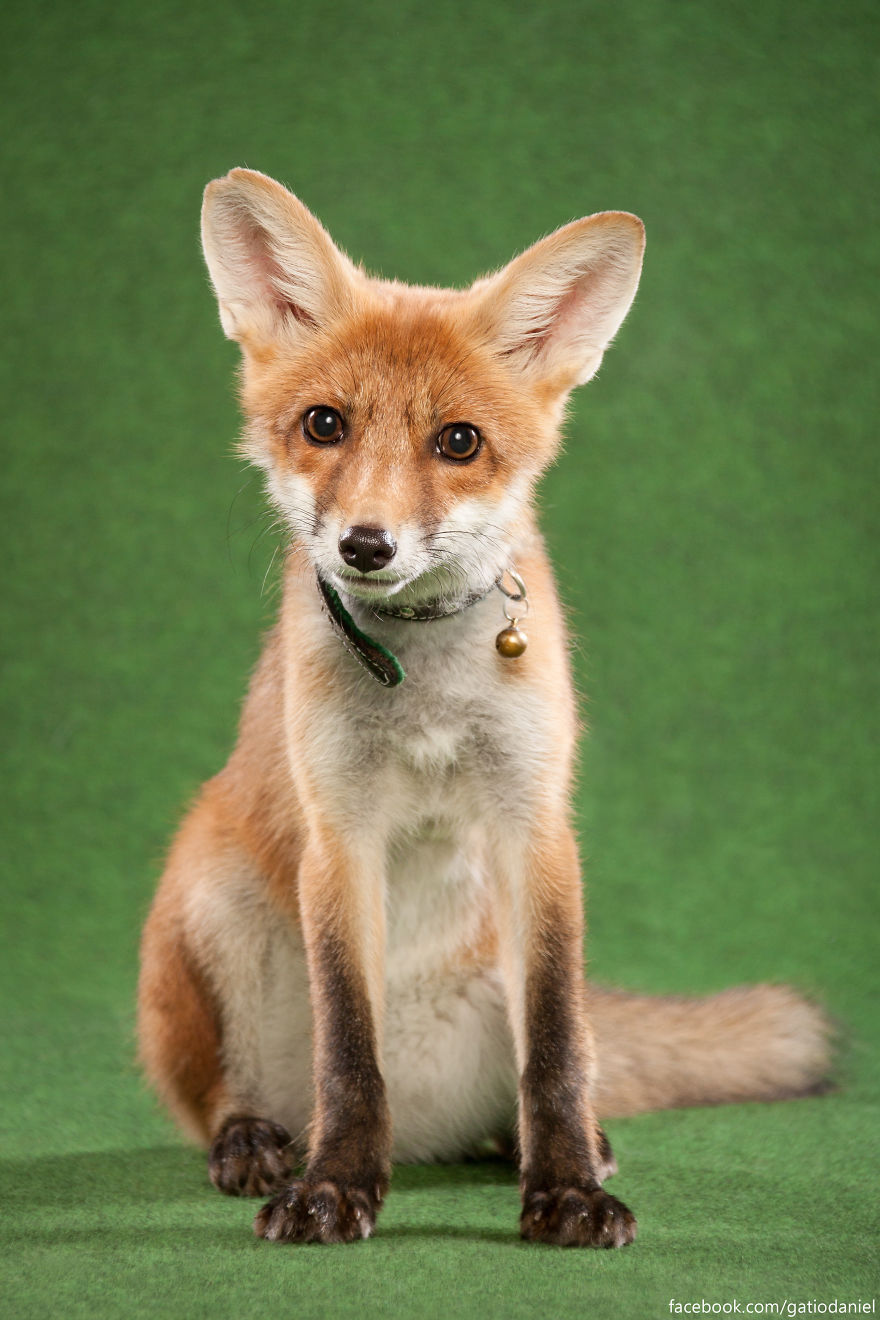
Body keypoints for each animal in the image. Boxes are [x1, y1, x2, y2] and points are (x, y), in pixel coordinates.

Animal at [137, 169, 832, 1248]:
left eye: (458, 442)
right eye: (324, 424)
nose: (365, 545)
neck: (424, 684)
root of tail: (428, 1136)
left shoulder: (534, 824)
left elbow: (555, 1052)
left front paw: (566, 1191)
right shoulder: (340, 833)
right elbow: (351, 1052)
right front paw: (338, 1185)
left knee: (566, 1061)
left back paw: (546, 1144)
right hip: (210, 895)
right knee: (237, 1092)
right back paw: (260, 1140)